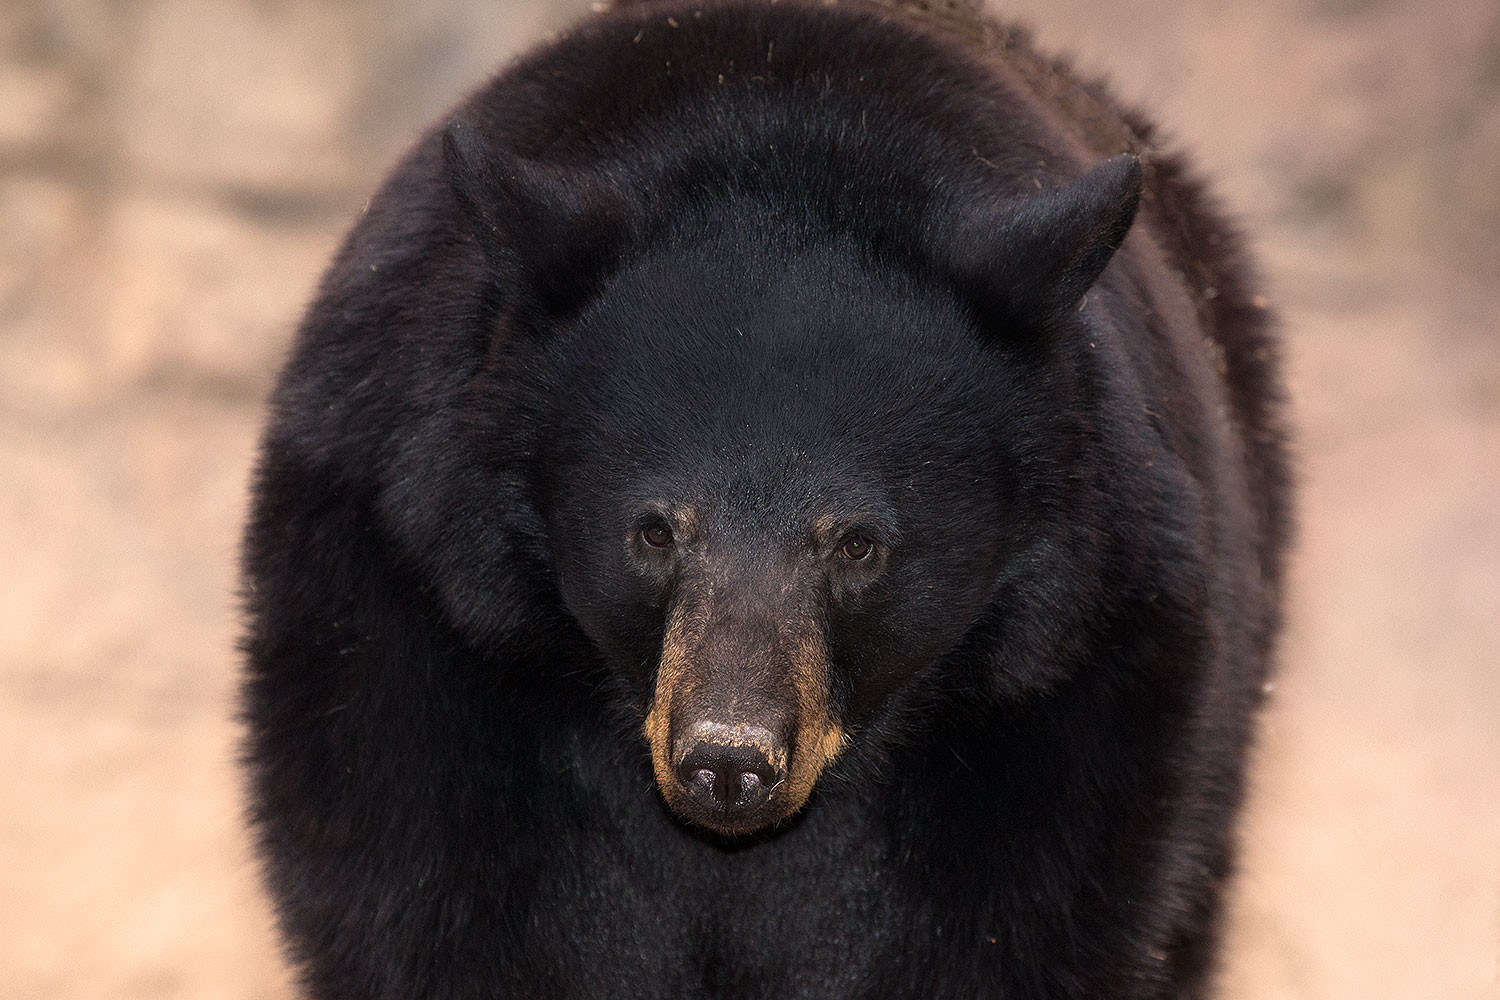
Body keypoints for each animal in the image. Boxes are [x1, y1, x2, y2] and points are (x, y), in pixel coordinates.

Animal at [240, 0, 1291, 997]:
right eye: (653, 532)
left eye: (859, 543)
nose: (727, 761)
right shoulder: (412, 632)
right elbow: (434, 910)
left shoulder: (1073, 691)